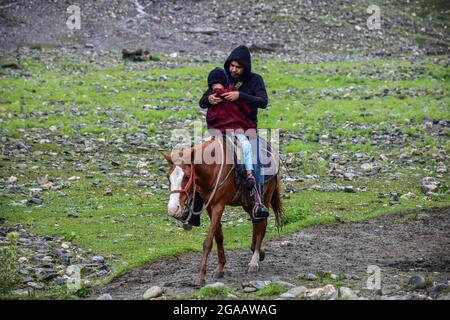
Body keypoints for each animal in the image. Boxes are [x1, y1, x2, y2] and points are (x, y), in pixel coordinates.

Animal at [162, 135, 282, 284]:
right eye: (168, 177)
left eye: (186, 176)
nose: (173, 209)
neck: (213, 168)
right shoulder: (210, 206)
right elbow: (218, 236)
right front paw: (220, 268)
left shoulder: (219, 205)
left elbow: (208, 241)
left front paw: (200, 276)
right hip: (248, 203)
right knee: (256, 222)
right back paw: (259, 252)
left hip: (264, 197)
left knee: (261, 224)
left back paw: (254, 261)